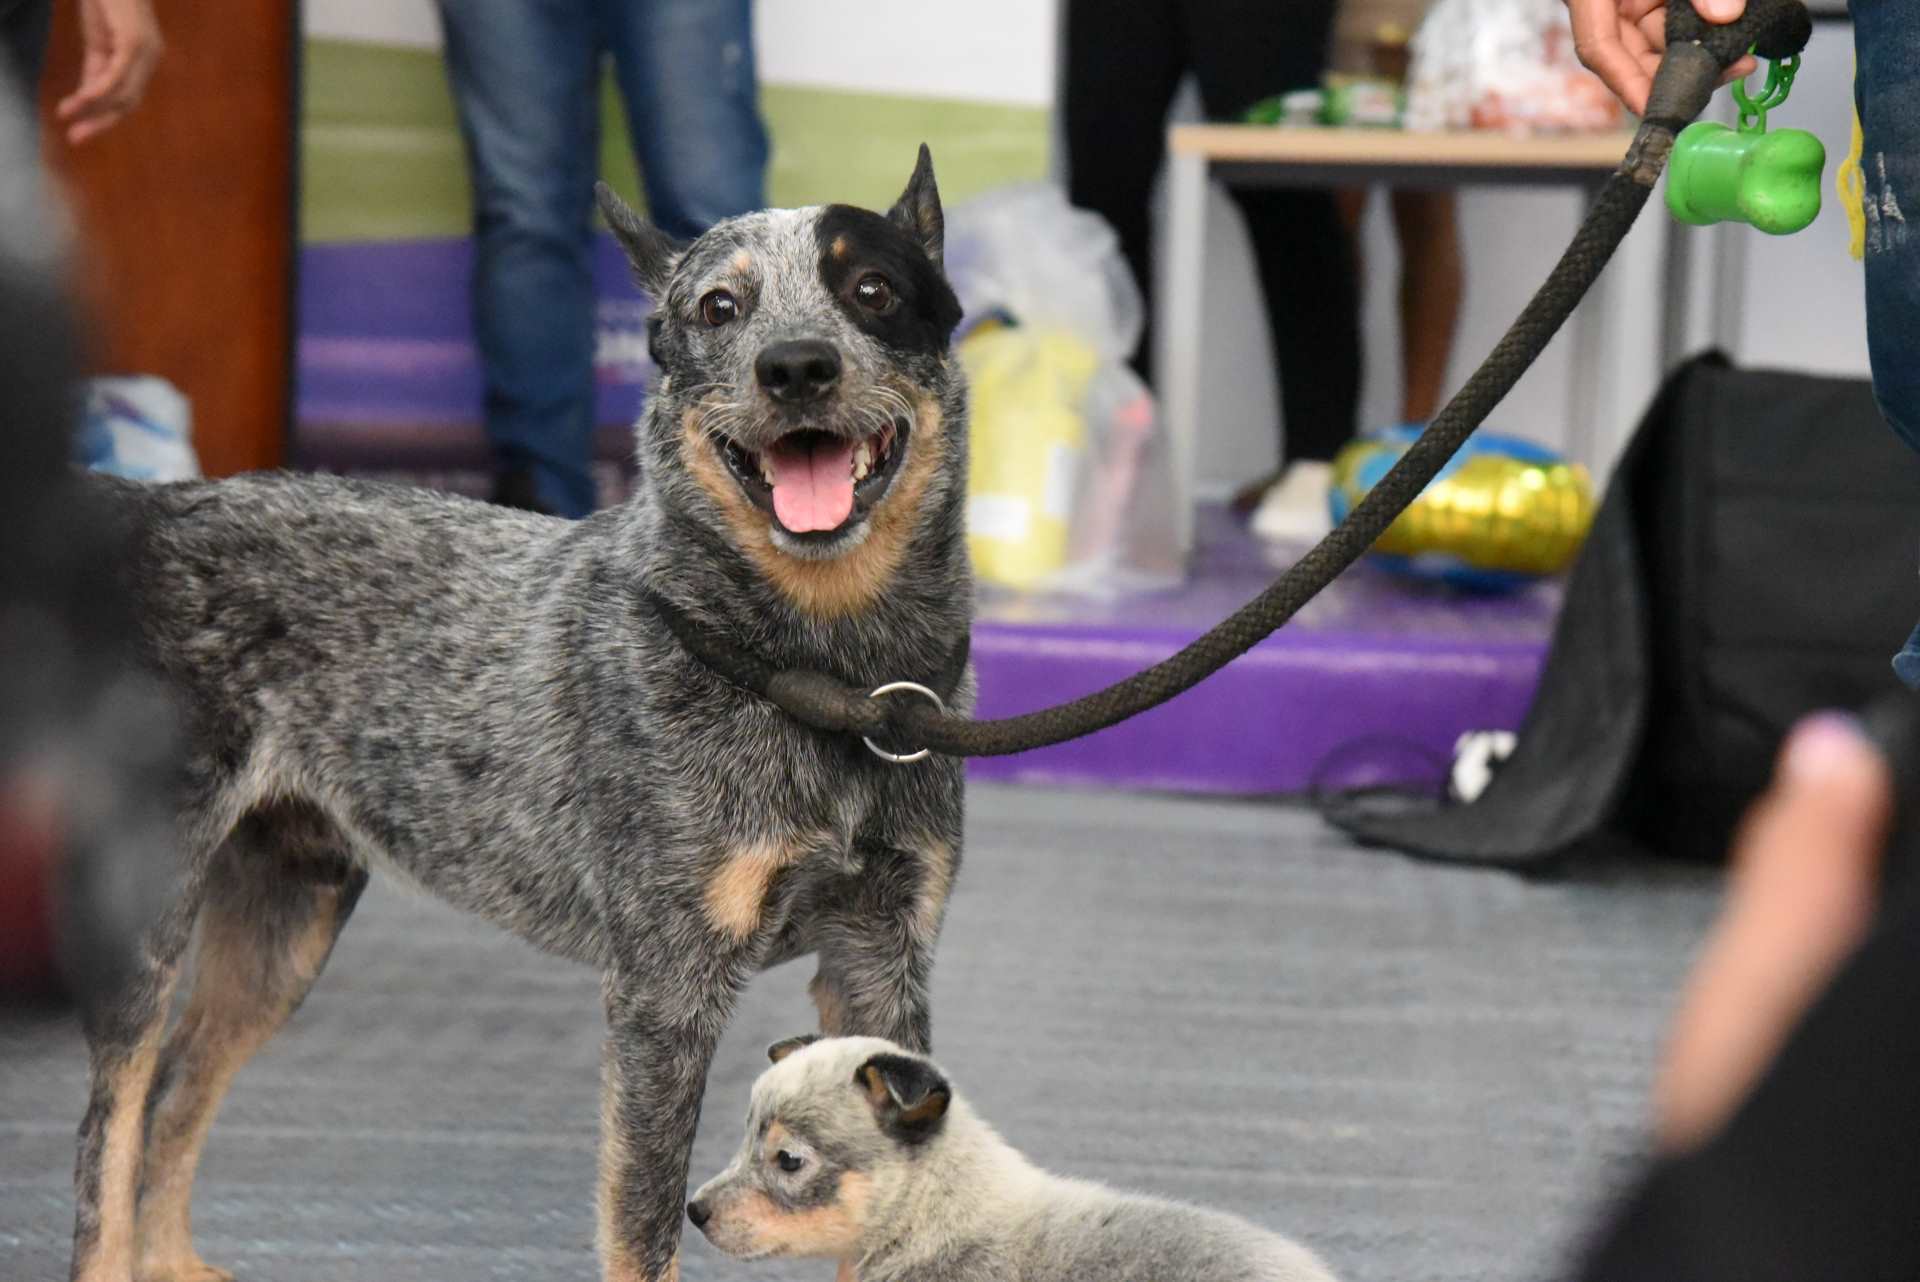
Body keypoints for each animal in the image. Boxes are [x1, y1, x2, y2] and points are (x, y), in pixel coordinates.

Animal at [74, 144, 975, 1282]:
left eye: (873, 290)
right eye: (720, 306)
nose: (798, 366)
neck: (825, 671)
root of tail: (154, 509)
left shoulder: (882, 959)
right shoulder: (662, 994)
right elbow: (642, 1227)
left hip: (290, 919)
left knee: (177, 1092)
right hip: (151, 922)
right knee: (114, 1130)